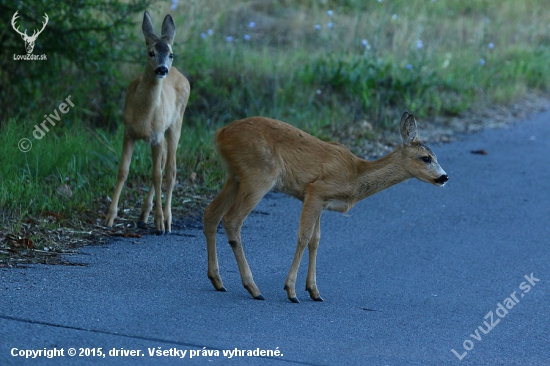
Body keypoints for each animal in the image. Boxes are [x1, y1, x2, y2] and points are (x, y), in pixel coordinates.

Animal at [104, 12, 191, 234]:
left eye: (171, 54)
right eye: (151, 52)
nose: (162, 69)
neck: (144, 116)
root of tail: (180, 74)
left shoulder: (157, 135)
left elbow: (157, 175)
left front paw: (159, 223)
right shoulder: (129, 132)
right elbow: (123, 171)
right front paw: (110, 217)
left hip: (176, 124)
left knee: (170, 170)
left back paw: (167, 220)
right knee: (162, 166)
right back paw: (143, 216)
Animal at [205, 112, 450, 304]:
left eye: (435, 156)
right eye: (426, 158)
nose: (444, 177)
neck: (354, 176)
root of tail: (219, 134)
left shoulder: (321, 201)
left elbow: (316, 240)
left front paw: (314, 291)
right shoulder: (316, 190)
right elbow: (304, 237)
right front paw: (291, 291)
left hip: (235, 176)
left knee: (211, 213)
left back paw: (218, 281)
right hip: (259, 174)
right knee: (232, 219)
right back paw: (253, 288)